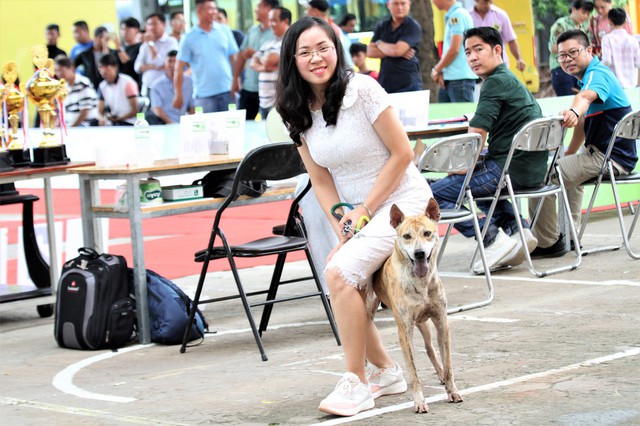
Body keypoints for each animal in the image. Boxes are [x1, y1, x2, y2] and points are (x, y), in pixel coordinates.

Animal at [368, 199, 462, 412]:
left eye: (427, 233)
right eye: (406, 236)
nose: (419, 254)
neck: (421, 283)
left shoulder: (441, 322)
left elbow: (449, 364)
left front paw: (452, 391)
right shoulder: (404, 331)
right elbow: (413, 372)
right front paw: (419, 401)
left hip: (424, 323)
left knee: (429, 348)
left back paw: (440, 374)